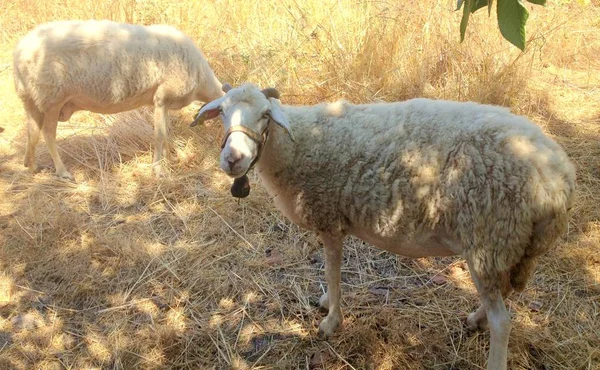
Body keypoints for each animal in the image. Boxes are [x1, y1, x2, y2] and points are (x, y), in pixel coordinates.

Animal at [13, 19, 225, 179]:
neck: (202, 79)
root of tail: (20, 52)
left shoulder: (164, 102)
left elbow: (165, 133)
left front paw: (171, 158)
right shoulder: (162, 97)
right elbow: (159, 134)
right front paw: (158, 169)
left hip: (31, 99)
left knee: (32, 132)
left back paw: (31, 165)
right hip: (52, 98)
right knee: (48, 134)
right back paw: (62, 171)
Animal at [192, 83, 576, 370]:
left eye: (265, 116)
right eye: (222, 112)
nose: (233, 160)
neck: (298, 145)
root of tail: (559, 182)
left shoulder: (330, 219)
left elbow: (332, 271)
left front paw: (331, 321)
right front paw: (326, 302)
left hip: (490, 238)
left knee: (503, 322)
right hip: (509, 247)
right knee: (505, 295)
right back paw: (475, 319)